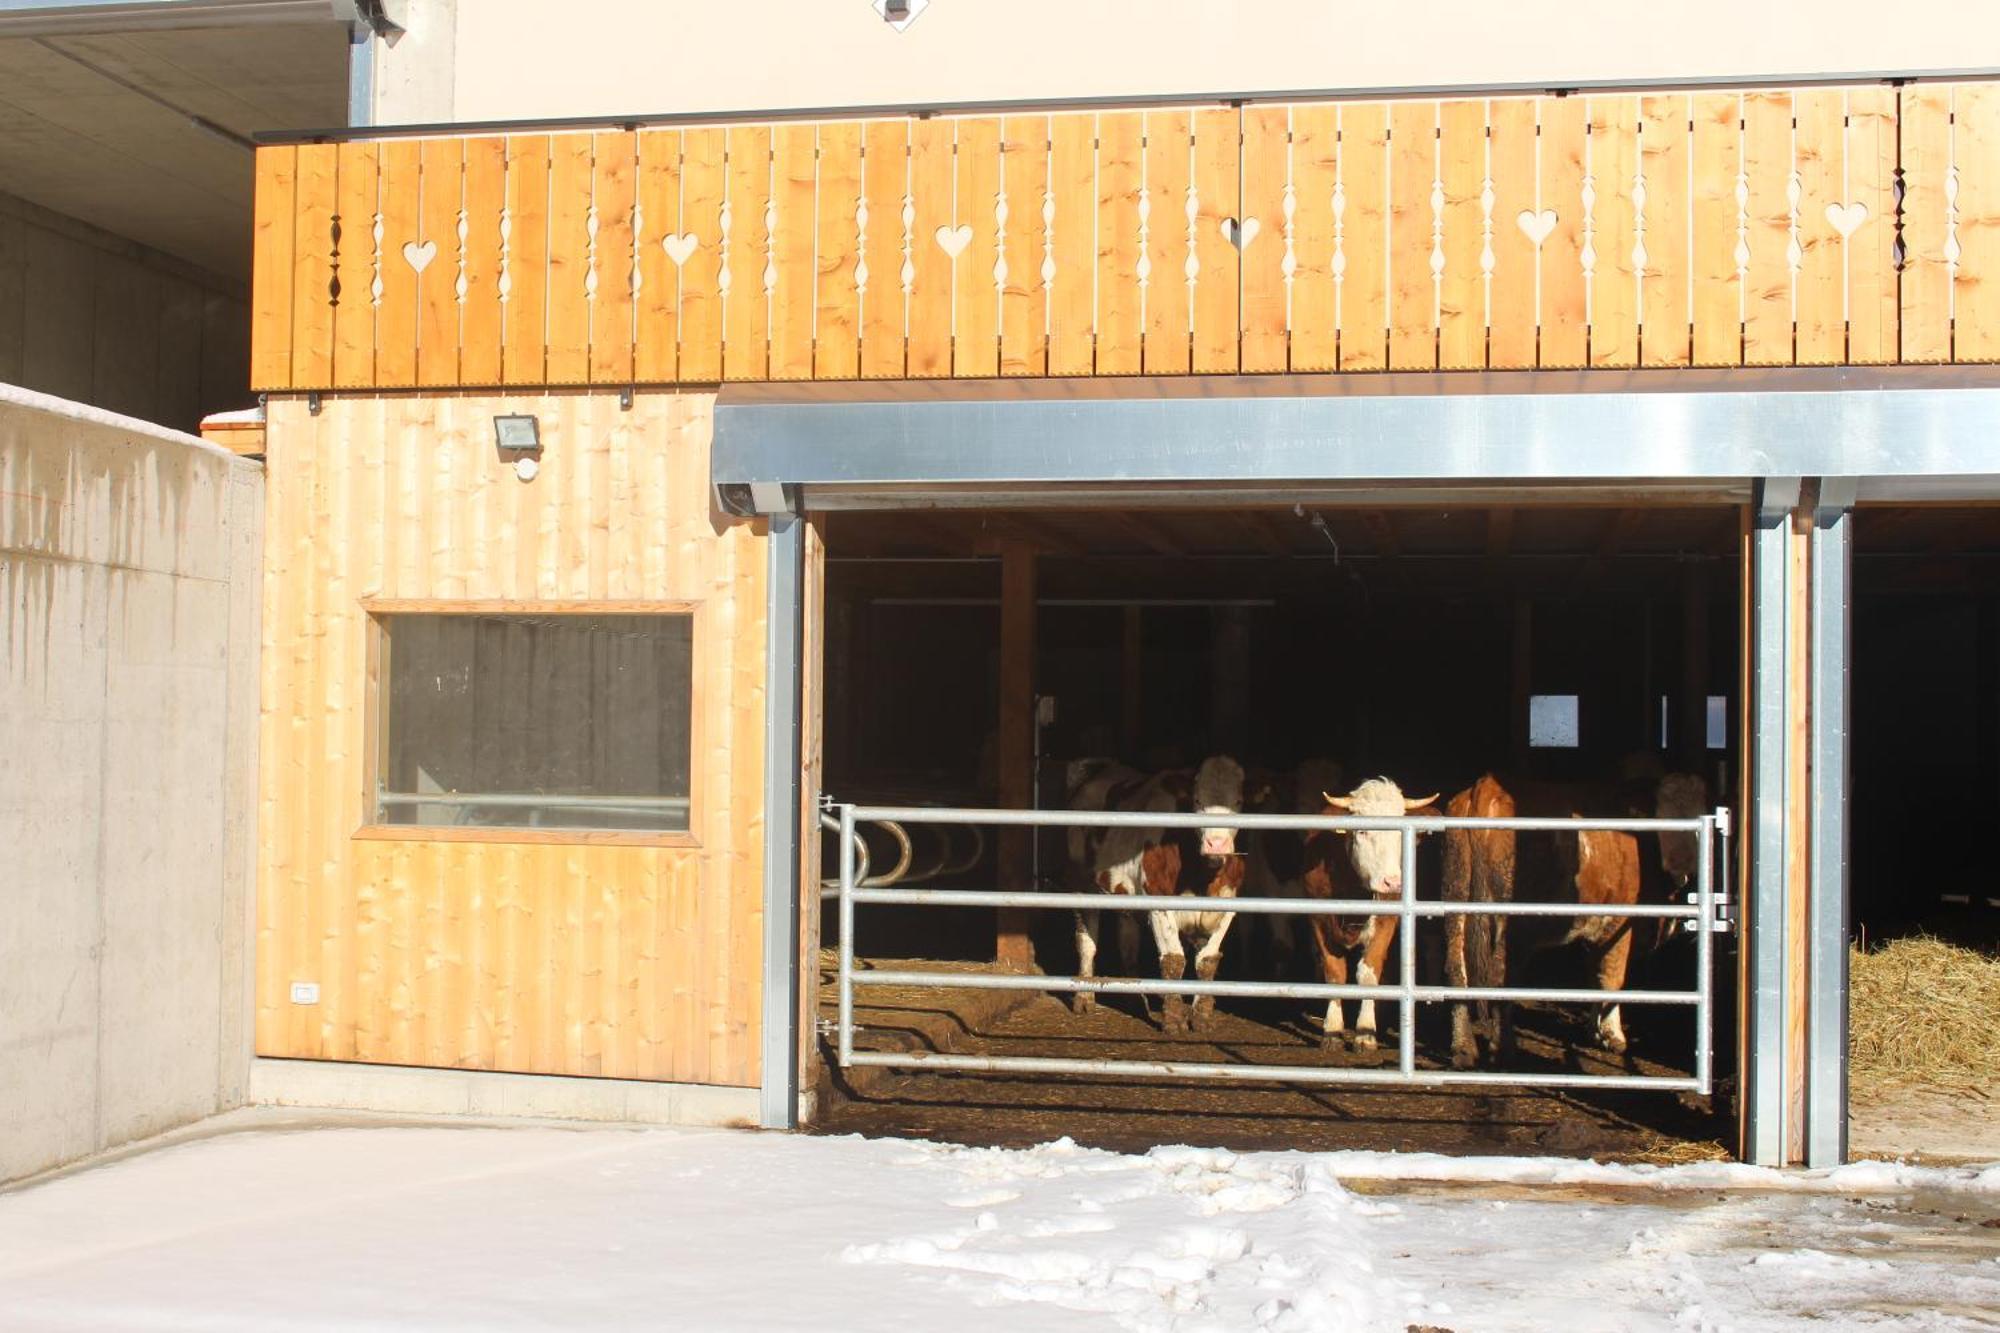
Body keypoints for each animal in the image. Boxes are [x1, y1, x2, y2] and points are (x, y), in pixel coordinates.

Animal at [1072, 752, 1240, 1032]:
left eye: (1239, 802)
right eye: (1197, 801)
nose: (1216, 845)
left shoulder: (1228, 907)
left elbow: (1207, 961)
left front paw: (1201, 1018)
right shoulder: (1159, 904)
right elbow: (1174, 960)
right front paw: (1173, 1021)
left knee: (1128, 945)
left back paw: (1135, 999)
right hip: (1081, 886)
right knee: (1087, 942)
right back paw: (1084, 998)